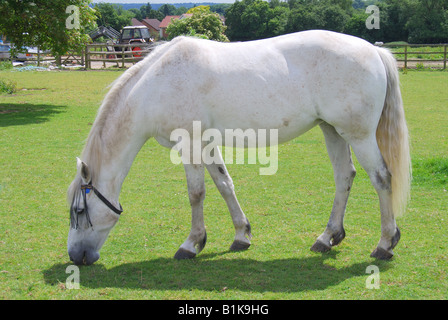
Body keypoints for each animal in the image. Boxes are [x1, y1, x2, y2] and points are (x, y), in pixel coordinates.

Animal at [65, 30, 412, 264]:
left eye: (80, 211)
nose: (75, 256)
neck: (156, 86)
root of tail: (374, 51)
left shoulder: (190, 144)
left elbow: (196, 194)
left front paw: (191, 244)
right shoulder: (206, 144)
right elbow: (224, 184)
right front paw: (241, 235)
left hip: (358, 135)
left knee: (382, 178)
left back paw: (385, 244)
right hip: (333, 131)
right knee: (344, 177)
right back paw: (328, 238)